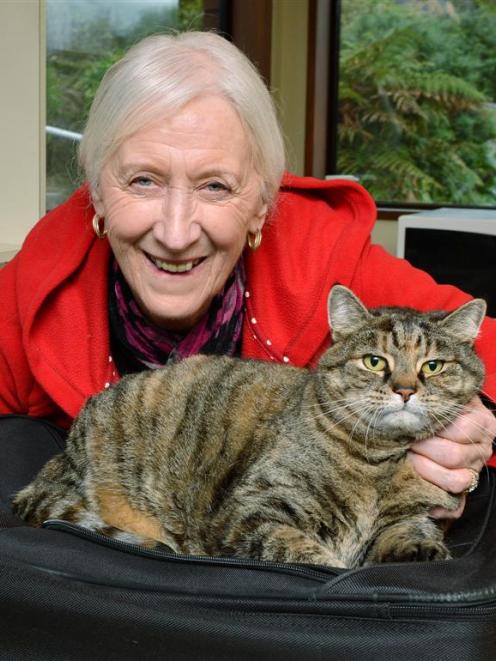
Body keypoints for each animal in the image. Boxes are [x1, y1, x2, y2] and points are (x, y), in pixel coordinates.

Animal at [13, 284, 486, 568]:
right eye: (374, 361)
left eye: (433, 365)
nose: (405, 389)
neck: (379, 461)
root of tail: (58, 463)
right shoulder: (251, 513)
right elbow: (301, 550)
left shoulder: (409, 517)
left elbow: (409, 533)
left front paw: (423, 551)